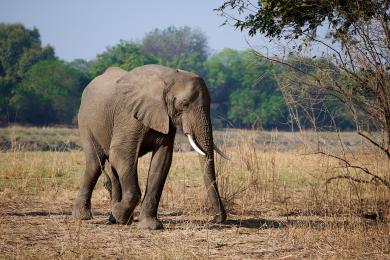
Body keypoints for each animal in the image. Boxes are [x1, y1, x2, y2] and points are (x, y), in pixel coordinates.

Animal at [72, 63, 229, 230]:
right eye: (184, 104)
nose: (216, 219)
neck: (169, 77)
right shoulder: (129, 116)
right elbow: (120, 154)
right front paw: (120, 215)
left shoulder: (166, 118)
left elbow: (162, 161)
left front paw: (150, 226)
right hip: (85, 121)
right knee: (95, 163)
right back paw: (84, 217)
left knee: (112, 169)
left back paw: (115, 219)